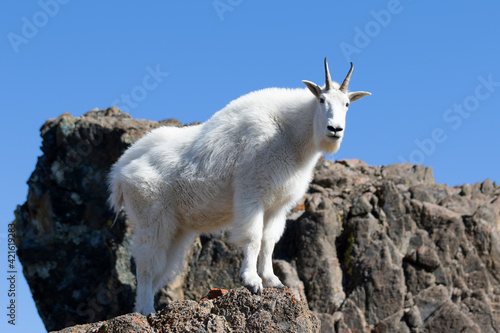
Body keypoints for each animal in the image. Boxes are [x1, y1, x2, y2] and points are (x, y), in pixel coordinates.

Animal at [107, 57, 370, 314]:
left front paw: (272, 280)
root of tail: (119, 172)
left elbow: (269, 241)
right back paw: (145, 311)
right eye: (322, 99)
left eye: (347, 104)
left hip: (176, 228)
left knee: (161, 266)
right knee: (146, 264)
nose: (334, 129)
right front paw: (252, 281)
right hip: (151, 218)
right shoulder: (251, 193)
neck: (290, 135)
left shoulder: (278, 206)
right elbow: (253, 238)